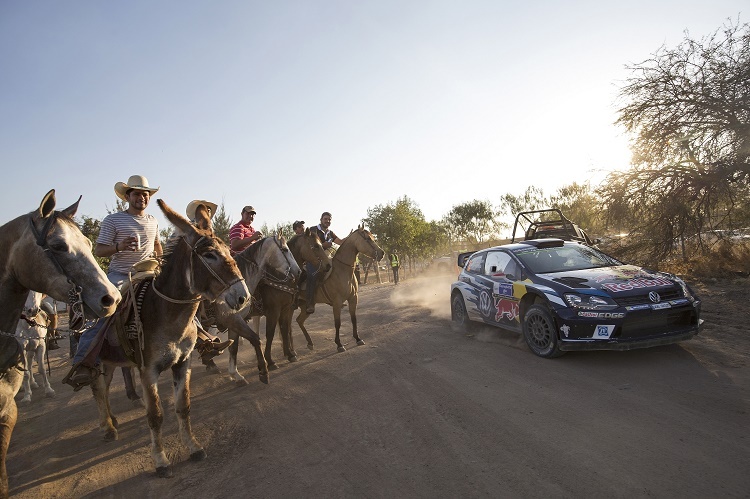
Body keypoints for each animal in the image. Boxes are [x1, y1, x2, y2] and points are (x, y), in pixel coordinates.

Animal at [86, 197, 248, 478]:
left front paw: (193, 447)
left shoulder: (182, 363)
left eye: (229, 250)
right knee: (97, 388)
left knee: (104, 387)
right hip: (95, 357)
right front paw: (160, 460)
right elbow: (156, 415)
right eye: (209, 254)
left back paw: (111, 420)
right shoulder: (147, 369)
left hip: (109, 360)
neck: (167, 314)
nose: (242, 296)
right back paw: (107, 427)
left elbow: (183, 406)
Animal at [226, 230, 332, 382]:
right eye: (315, 246)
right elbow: (270, 333)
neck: (280, 277)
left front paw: (290, 354)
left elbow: (284, 328)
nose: (329, 265)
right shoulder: (274, 311)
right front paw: (270, 361)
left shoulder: (286, 309)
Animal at [296, 228, 384, 356]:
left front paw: (358, 338)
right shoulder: (337, 303)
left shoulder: (353, 298)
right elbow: (337, 323)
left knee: (299, 321)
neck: (343, 270)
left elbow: (354, 318)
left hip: (304, 307)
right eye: (368, 238)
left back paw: (310, 343)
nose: (382, 253)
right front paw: (339, 344)